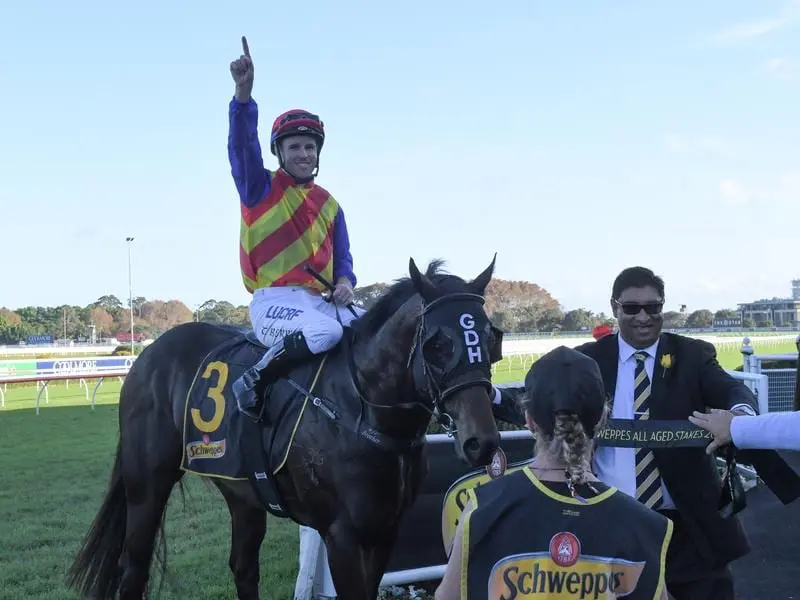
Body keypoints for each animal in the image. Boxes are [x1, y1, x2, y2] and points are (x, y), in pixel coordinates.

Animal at [70, 256, 506, 600]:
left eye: (490, 337)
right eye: (437, 344)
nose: (481, 442)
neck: (363, 409)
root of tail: (147, 356)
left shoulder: (385, 530)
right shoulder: (342, 534)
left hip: (242, 491)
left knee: (243, 567)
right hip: (146, 484)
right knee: (133, 570)